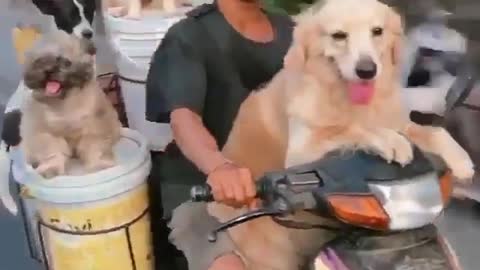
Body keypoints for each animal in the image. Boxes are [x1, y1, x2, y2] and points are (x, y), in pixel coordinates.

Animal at [20, 30, 122, 178]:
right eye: (39, 61)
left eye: (66, 62)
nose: (48, 70)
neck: (64, 104)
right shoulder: (43, 133)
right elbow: (52, 151)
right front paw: (51, 168)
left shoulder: (96, 128)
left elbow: (94, 147)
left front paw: (98, 164)